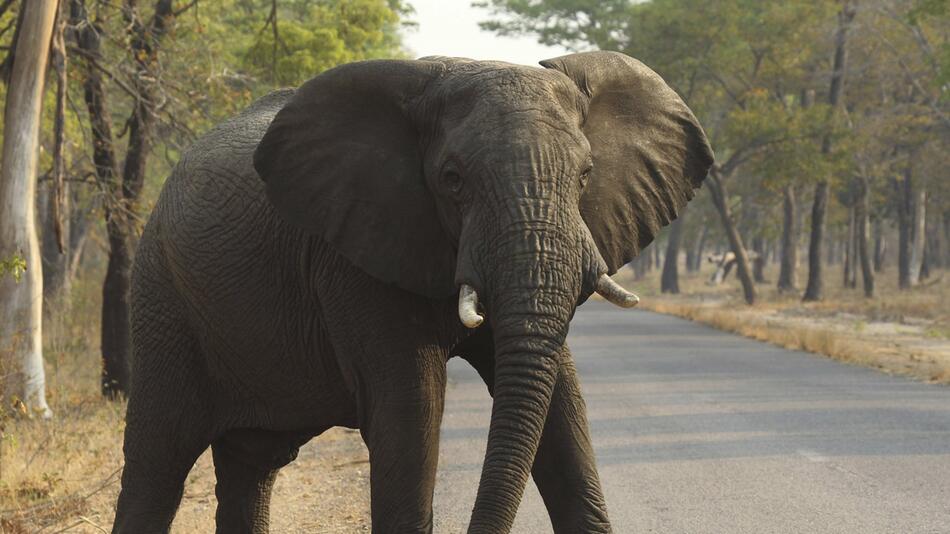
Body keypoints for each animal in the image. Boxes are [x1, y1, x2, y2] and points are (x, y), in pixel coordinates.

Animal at [113, 51, 712, 534]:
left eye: (586, 175)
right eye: (452, 179)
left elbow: (562, 402)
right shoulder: (354, 256)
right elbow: (411, 410)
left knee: (251, 466)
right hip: (162, 296)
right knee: (156, 464)